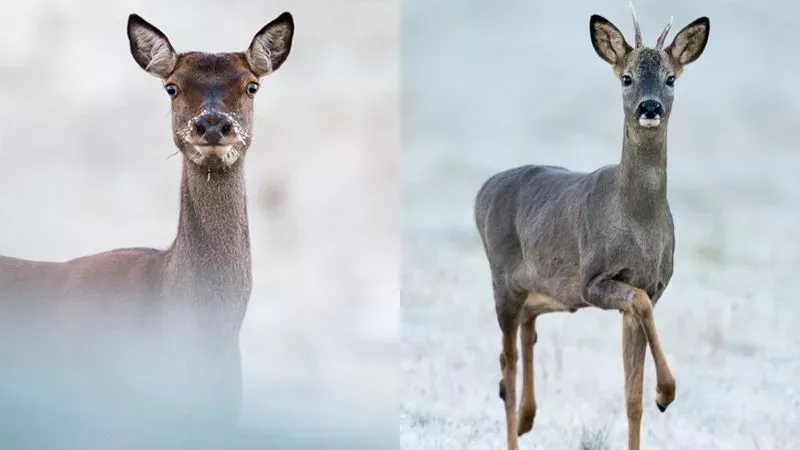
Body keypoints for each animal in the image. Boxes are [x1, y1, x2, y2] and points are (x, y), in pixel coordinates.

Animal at [474, 4, 709, 450]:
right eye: (627, 77)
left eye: (670, 77)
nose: (649, 107)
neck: (637, 218)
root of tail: (483, 190)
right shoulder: (593, 278)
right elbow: (639, 304)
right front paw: (665, 392)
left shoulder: (649, 285)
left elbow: (632, 396)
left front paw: (655, 394)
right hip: (502, 279)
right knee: (505, 367)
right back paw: (518, 422)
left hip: (549, 286)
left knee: (528, 324)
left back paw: (529, 417)